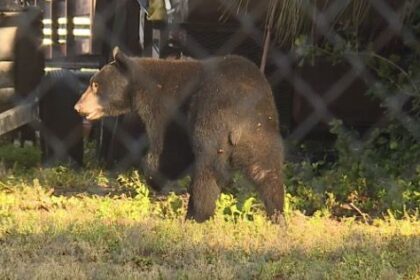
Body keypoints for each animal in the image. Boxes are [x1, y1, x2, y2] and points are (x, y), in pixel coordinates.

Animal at [75, 48, 286, 223]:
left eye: (95, 85)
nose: (78, 107)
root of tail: (242, 112)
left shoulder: (168, 107)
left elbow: (169, 149)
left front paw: (154, 176)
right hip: (262, 133)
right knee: (267, 172)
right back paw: (277, 215)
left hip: (212, 120)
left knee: (206, 172)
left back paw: (196, 215)